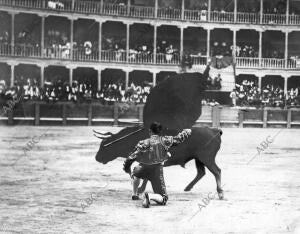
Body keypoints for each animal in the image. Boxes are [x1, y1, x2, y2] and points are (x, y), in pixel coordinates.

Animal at [95, 126, 224, 199]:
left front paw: (140, 189)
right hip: (199, 159)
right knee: (201, 173)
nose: (97, 158)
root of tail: (215, 130)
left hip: (206, 158)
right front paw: (141, 189)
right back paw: (188, 187)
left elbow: (145, 176)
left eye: (104, 146)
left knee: (217, 171)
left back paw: (220, 193)